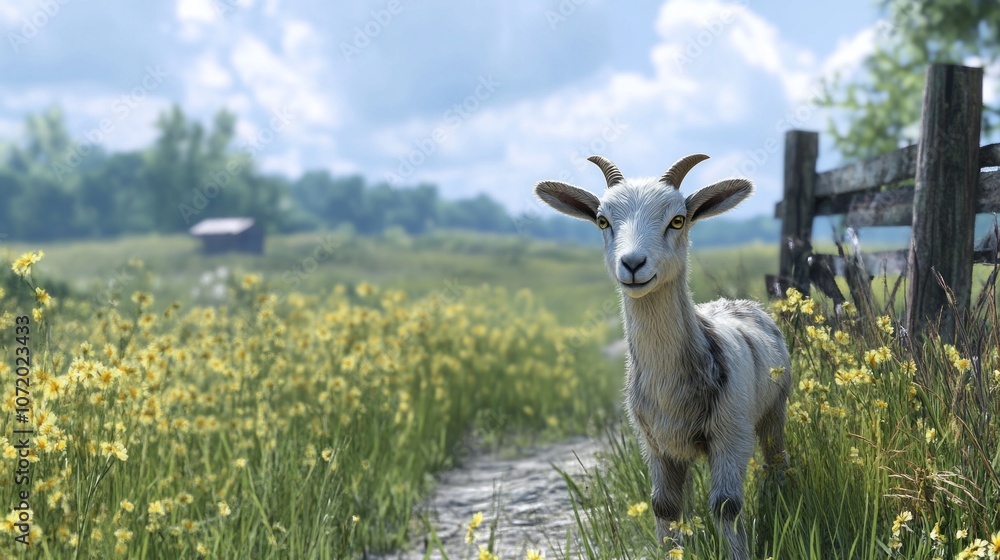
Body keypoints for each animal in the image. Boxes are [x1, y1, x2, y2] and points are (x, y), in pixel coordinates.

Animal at [535, 154, 792, 560]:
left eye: (678, 220)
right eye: (602, 221)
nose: (632, 263)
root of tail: (736, 301)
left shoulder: (730, 433)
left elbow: (726, 505)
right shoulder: (654, 442)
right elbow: (665, 507)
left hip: (774, 408)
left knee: (777, 460)